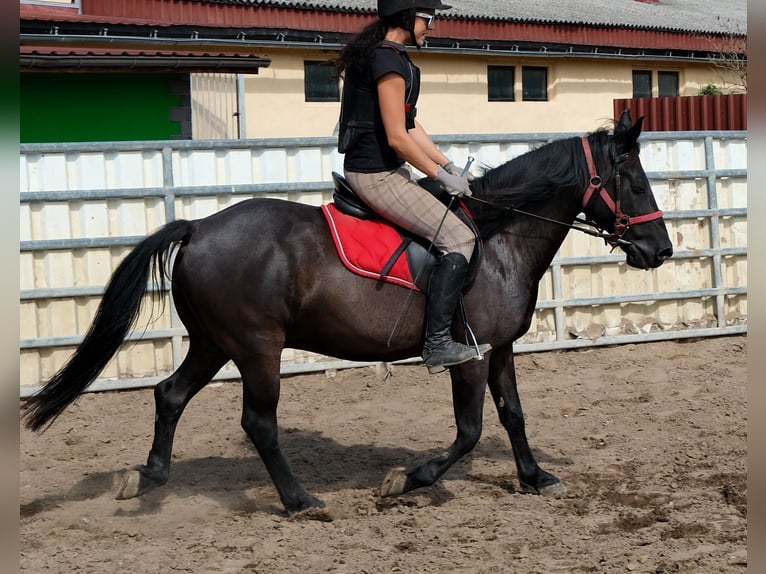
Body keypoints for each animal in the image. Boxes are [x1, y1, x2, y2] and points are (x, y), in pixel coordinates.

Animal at [22, 110, 672, 516]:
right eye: (635, 182)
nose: (661, 251)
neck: (497, 239)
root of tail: (200, 226)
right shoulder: (467, 356)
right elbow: (469, 431)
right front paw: (405, 481)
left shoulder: (500, 347)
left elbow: (513, 415)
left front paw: (535, 477)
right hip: (256, 348)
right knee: (258, 423)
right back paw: (299, 501)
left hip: (213, 343)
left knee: (169, 396)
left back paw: (149, 477)